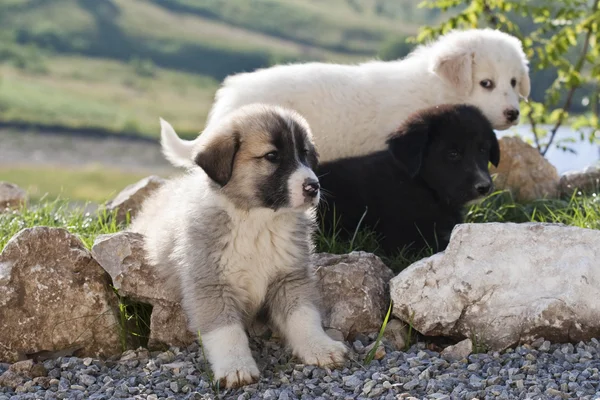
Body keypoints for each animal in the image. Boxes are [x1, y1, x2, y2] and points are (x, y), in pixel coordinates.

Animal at [131, 104, 346, 390]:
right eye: (272, 156)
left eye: (305, 154)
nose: (314, 187)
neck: (256, 221)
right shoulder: (211, 284)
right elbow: (227, 331)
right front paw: (236, 367)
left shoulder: (290, 276)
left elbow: (303, 316)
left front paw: (320, 347)